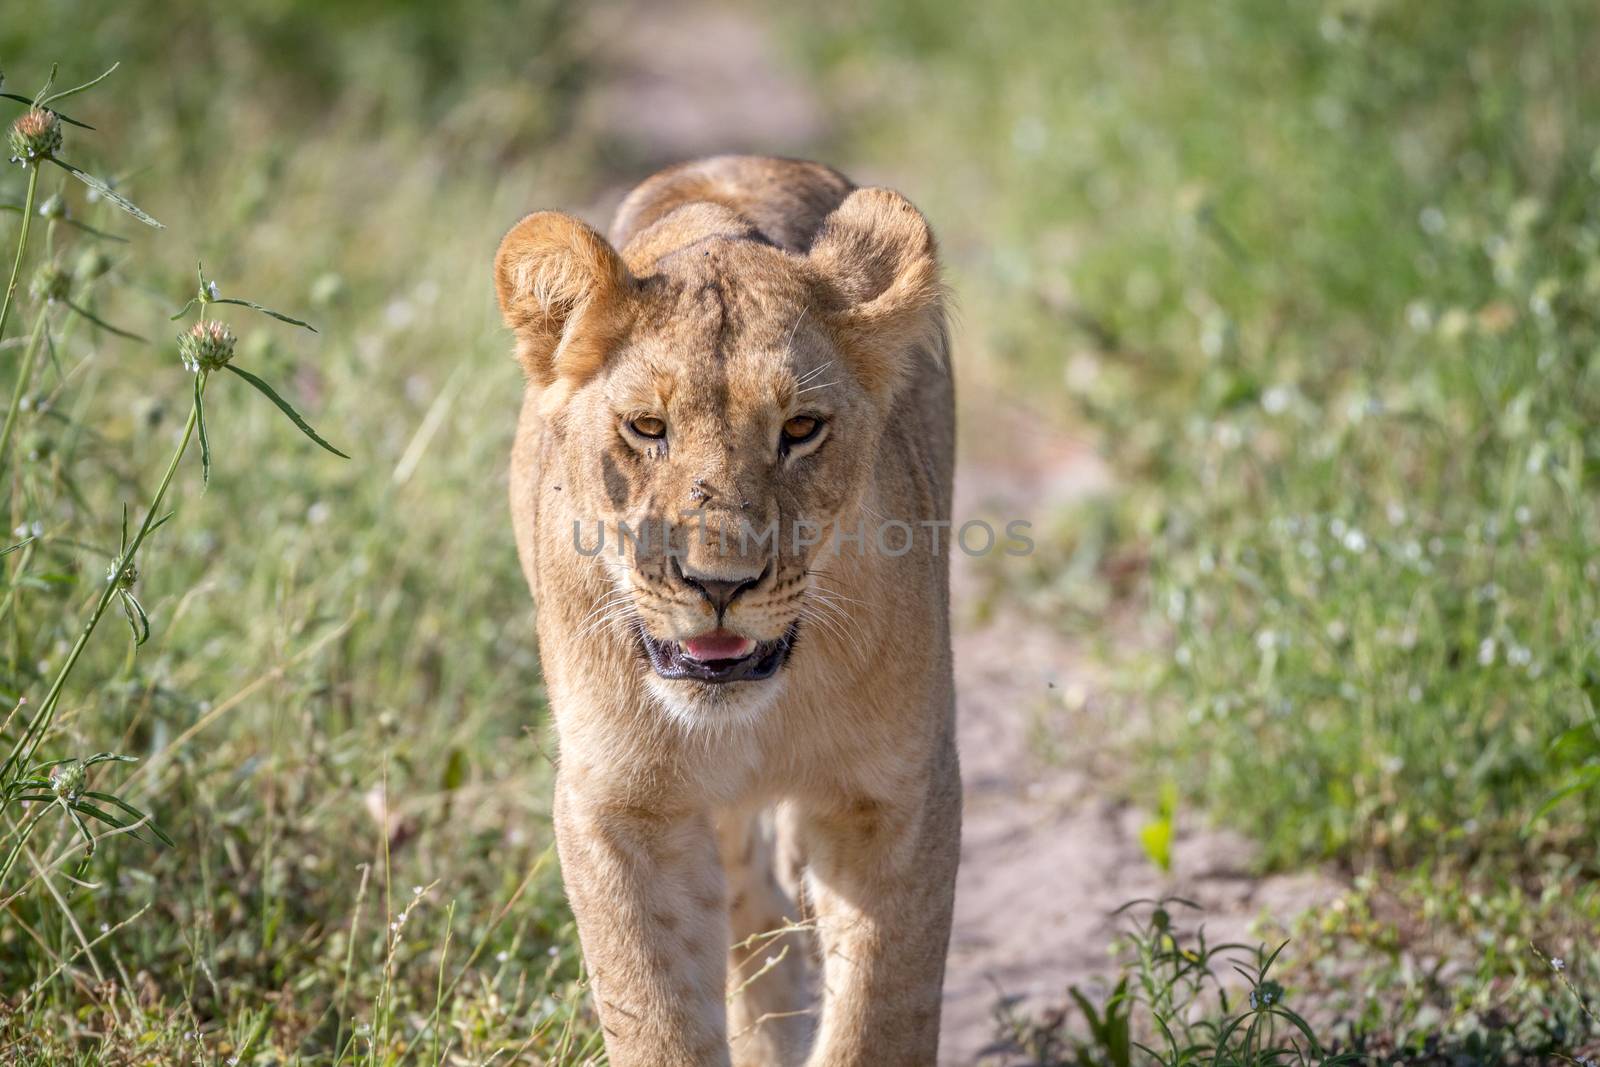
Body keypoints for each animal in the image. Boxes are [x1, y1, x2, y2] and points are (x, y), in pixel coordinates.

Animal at [492, 151, 953, 1067]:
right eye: (646, 426)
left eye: (802, 428)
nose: (719, 582)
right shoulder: (618, 806)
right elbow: (654, 1012)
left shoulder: (902, 795)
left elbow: (880, 1014)